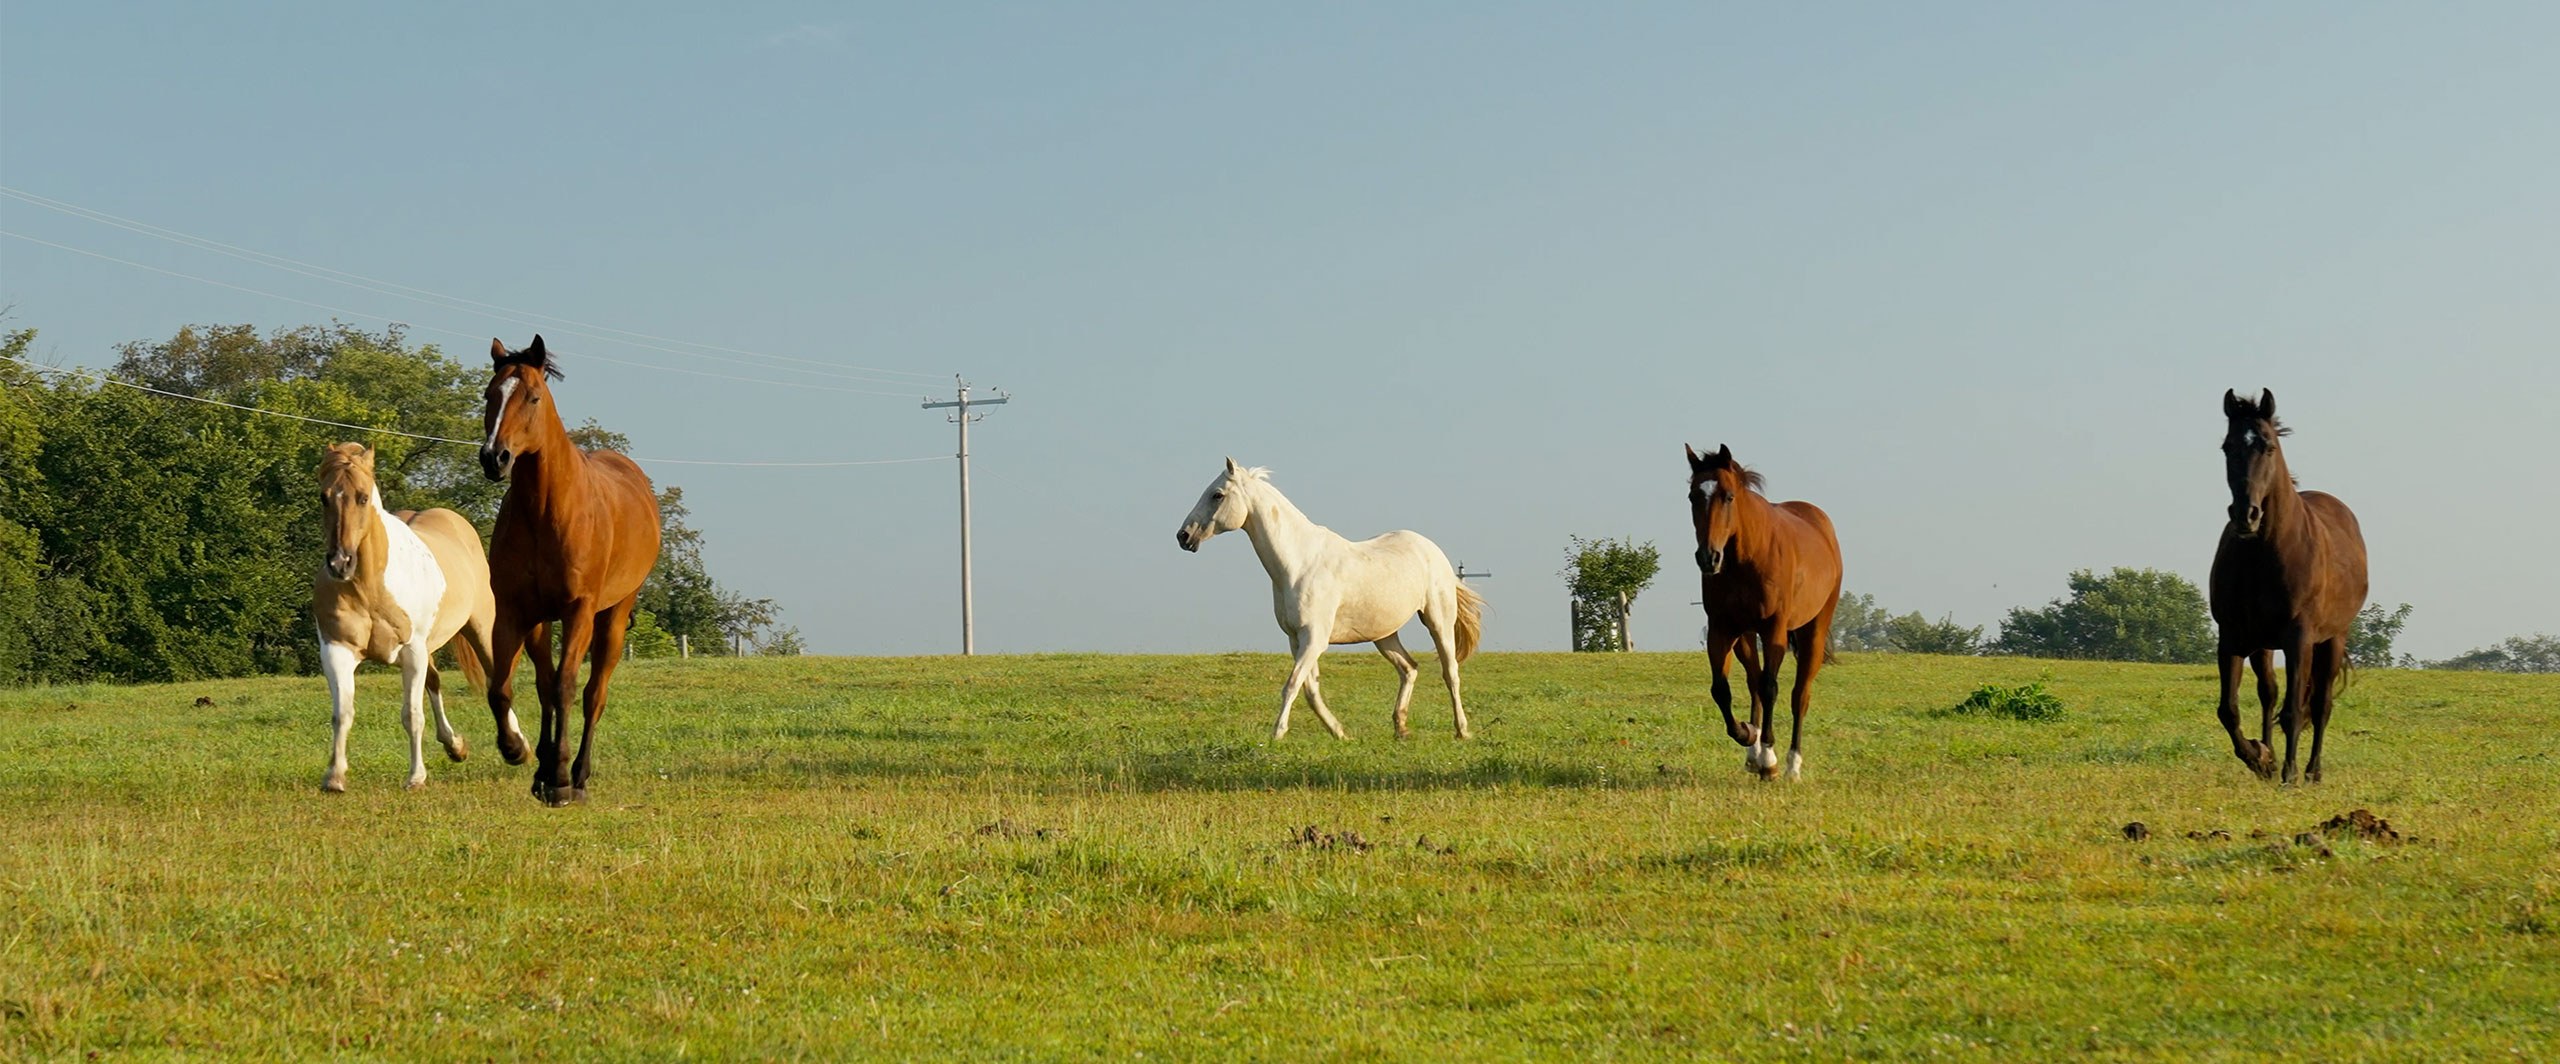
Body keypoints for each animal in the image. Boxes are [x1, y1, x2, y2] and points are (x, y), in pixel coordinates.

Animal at [310, 442, 525, 791]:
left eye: (363, 497)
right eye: (324, 497)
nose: (341, 563)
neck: (368, 586)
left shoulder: (412, 651)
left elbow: (411, 715)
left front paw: (415, 777)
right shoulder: (337, 650)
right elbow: (342, 713)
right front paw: (335, 776)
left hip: (480, 629)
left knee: (498, 680)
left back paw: (517, 747)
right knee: (435, 682)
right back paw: (455, 745)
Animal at [478, 336, 662, 805]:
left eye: (533, 397)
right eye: (489, 395)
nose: (494, 458)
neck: (546, 510)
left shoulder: (578, 610)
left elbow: (565, 685)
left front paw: (559, 776)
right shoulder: (516, 613)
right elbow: (505, 687)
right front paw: (520, 752)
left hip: (612, 616)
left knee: (594, 693)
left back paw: (578, 776)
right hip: (545, 622)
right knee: (547, 685)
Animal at [1175, 458, 1484, 740]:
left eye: (1217, 494)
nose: (1183, 536)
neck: (1299, 563)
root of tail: (1433, 550)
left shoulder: (1314, 638)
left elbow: (1292, 685)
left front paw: (1277, 734)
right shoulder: (1297, 639)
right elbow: (1310, 689)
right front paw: (1340, 733)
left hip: (1438, 622)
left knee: (1450, 673)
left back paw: (1462, 731)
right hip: (1385, 634)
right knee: (1409, 669)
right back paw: (1401, 729)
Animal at [1685, 444, 1842, 780]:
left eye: (1729, 496)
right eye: (1693, 496)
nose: (1708, 557)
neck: (1746, 559)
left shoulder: (1774, 630)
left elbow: (1771, 688)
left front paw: (1769, 758)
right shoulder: (1721, 629)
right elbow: (1722, 689)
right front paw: (1748, 735)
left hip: (1814, 631)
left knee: (1799, 695)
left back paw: (1792, 765)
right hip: (1745, 636)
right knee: (1753, 681)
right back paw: (1753, 752)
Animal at [2209, 389, 2368, 784]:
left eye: (2267, 446)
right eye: (2227, 447)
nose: (2246, 515)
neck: (2264, 553)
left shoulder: (2299, 638)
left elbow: (2296, 709)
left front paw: (2289, 773)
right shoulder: (2232, 636)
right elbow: (2229, 709)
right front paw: (2260, 757)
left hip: (2332, 639)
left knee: (2321, 704)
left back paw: (2312, 772)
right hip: (2263, 644)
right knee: (2269, 693)